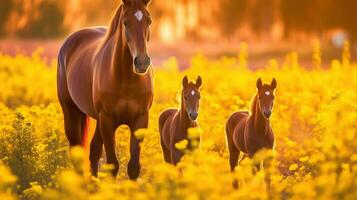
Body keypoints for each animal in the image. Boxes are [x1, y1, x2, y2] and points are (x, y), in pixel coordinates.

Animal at [56, 0, 153, 180]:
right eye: (125, 23)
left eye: (148, 21)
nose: (142, 62)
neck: (126, 80)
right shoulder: (108, 120)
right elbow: (112, 164)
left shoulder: (140, 119)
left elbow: (134, 166)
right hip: (71, 112)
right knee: (77, 152)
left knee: (93, 151)